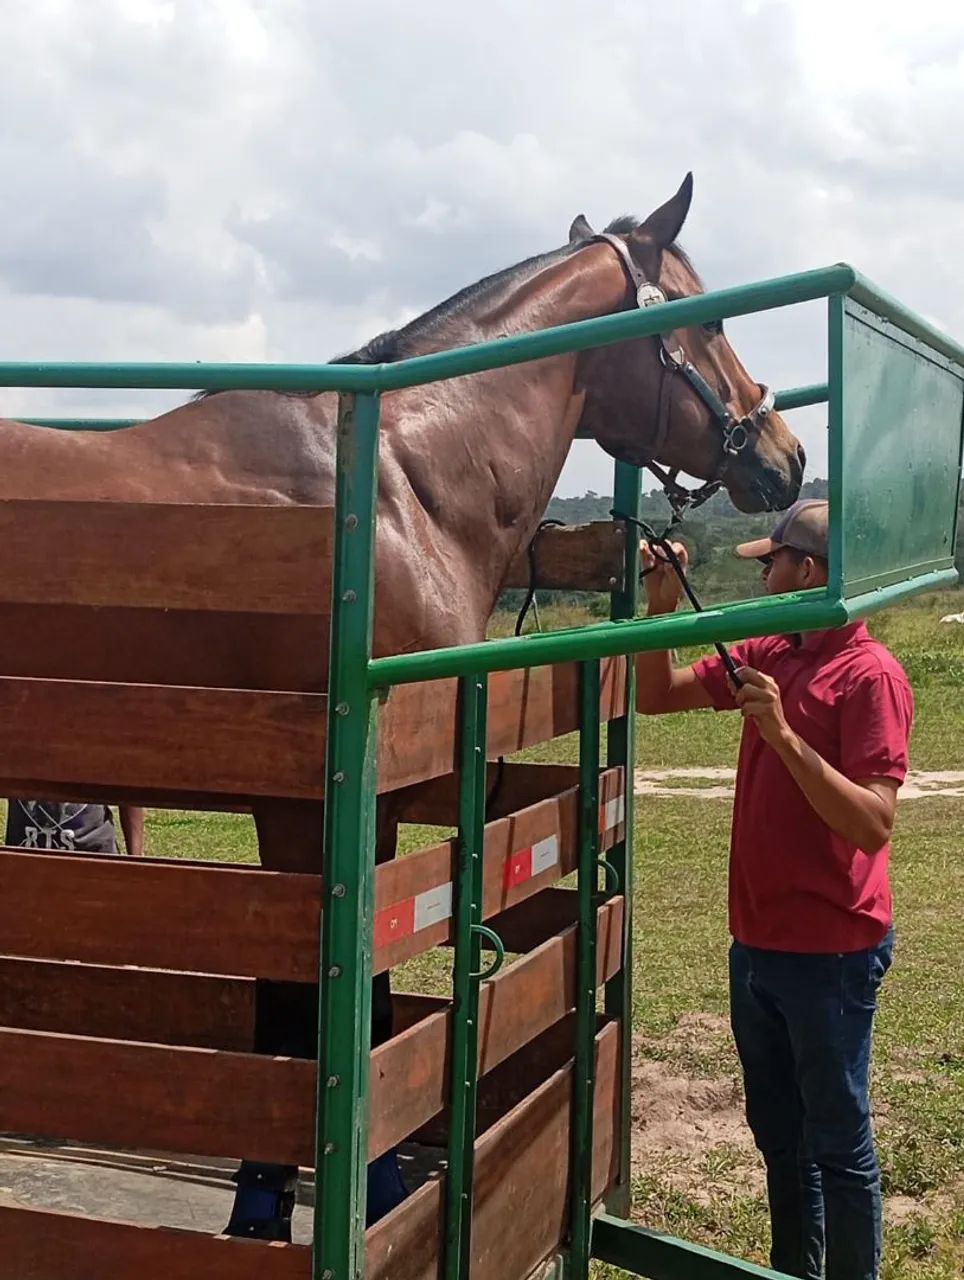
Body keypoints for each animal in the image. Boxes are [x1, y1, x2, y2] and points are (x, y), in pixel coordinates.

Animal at [0, 173, 804, 1235]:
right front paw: (319, 1200)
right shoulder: (324, 805)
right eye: (706, 320)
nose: (787, 459)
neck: (397, 491)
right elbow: (337, 1006)